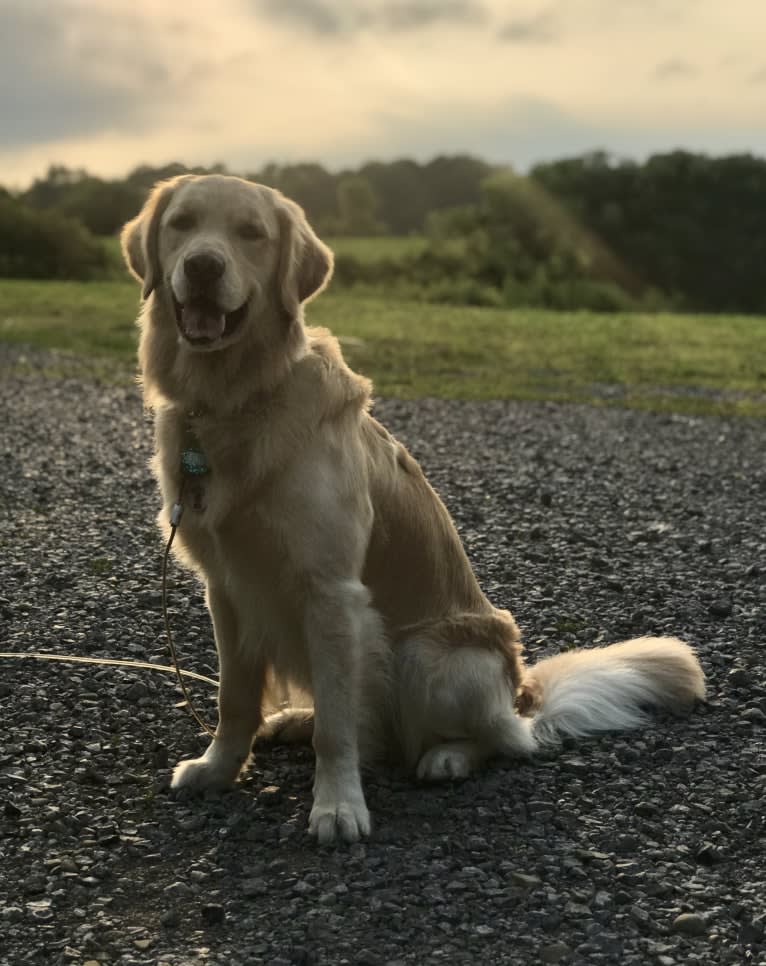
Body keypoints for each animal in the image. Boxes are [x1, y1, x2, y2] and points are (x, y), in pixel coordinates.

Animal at [121, 176, 708, 848]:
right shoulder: (226, 589)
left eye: (251, 234)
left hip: (425, 656)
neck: (235, 399)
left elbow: (338, 731)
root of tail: (521, 694)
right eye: (183, 224)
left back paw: (447, 756)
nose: (202, 266)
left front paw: (338, 807)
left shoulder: (332, 592)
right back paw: (297, 717)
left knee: (503, 741)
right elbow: (234, 699)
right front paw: (218, 770)